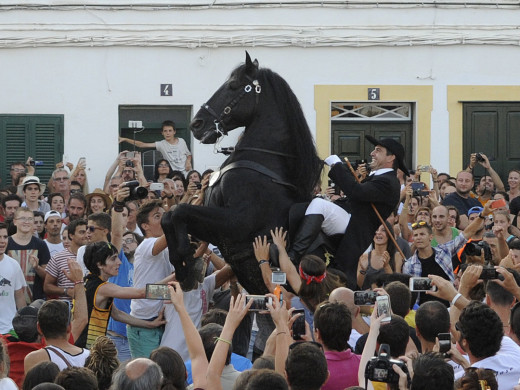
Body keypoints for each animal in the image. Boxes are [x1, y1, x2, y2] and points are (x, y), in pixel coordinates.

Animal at [162, 53, 322, 294]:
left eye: (233, 85)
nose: (196, 124)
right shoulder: (216, 232)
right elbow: (168, 216)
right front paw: (183, 266)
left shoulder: (236, 223)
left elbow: (179, 211)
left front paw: (187, 263)